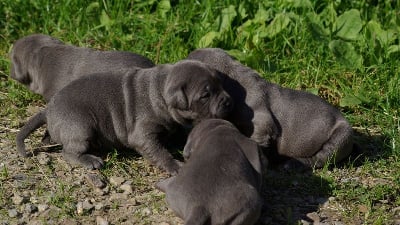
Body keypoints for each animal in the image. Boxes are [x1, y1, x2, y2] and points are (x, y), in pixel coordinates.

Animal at [16, 59, 234, 174]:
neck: (159, 91)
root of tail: (48, 110)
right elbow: (160, 152)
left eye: (220, 84)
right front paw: (175, 165)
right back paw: (90, 160)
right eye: (205, 96)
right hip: (80, 127)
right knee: (68, 152)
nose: (228, 100)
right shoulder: (143, 135)